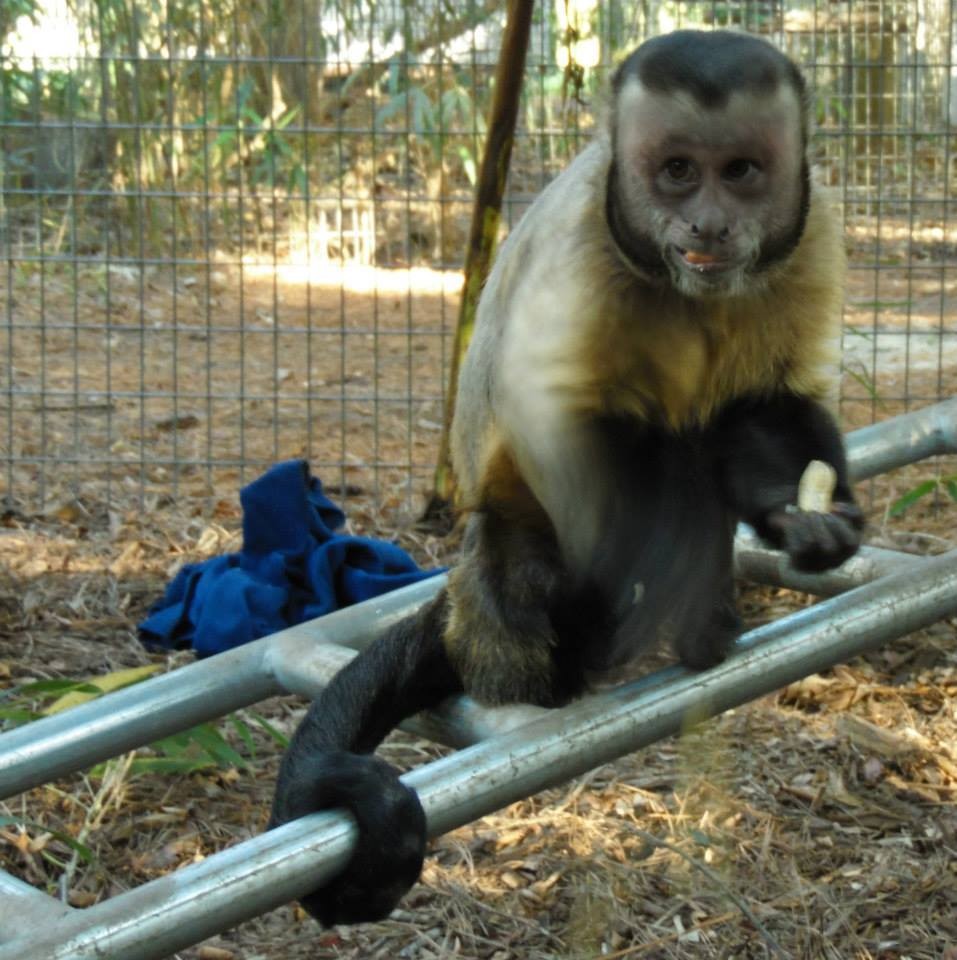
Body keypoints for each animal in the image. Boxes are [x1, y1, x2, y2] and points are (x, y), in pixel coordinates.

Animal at [268, 30, 860, 928]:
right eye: (676, 170)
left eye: (741, 171)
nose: (708, 221)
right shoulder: (580, 252)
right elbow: (558, 422)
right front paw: (661, 583)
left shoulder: (810, 226)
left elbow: (768, 401)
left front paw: (805, 523)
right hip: (513, 601)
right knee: (646, 456)